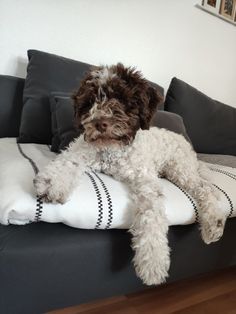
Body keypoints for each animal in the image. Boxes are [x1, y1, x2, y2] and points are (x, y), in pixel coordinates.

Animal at [33, 62, 227, 286]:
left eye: (122, 98)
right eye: (90, 101)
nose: (100, 123)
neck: (113, 149)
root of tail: (186, 144)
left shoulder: (146, 181)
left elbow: (151, 216)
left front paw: (153, 261)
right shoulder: (81, 149)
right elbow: (67, 161)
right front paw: (51, 183)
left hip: (180, 169)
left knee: (205, 189)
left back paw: (214, 223)